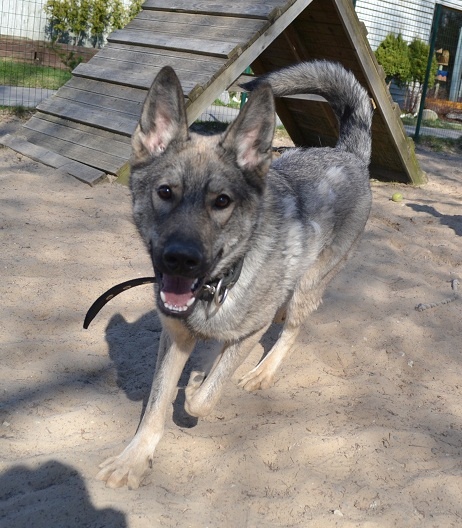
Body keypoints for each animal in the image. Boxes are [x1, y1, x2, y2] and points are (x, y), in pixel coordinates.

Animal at [96, 61, 373, 489]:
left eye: (222, 201)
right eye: (165, 192)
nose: (181, 260)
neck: (216, 287)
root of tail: (347, 154)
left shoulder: (249, 332)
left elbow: (202, 399)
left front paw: (197, 386)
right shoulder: (174, 337)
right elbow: (156, 405)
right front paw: (134, 459)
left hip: (308, 286)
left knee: (292, 328)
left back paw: (262, 372)